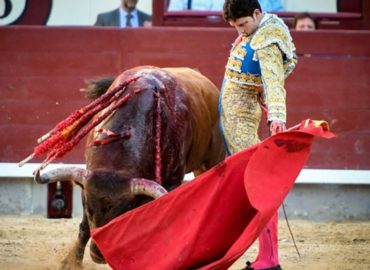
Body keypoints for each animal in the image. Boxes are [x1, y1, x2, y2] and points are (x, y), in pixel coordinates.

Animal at [34, 66, 225, 268]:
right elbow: (85, 227)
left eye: (124, 213)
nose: (98, 255)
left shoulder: (172, 181)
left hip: (212, 159)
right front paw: (71, 263)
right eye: (90, 210)